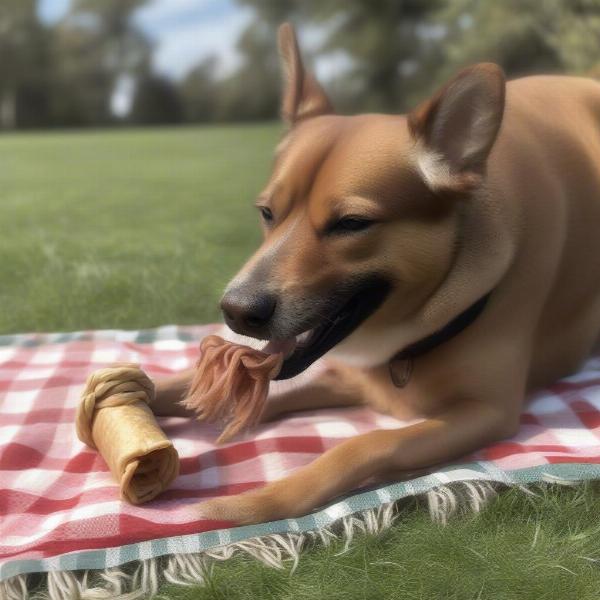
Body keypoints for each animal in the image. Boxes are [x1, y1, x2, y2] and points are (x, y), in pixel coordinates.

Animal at [152, 21, 600, 524]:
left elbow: (367, 444)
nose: (235, 311)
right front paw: (136, 389)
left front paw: (253, 503)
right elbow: (192, 386)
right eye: (267, 213)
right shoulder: (339, 374)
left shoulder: (487, 412)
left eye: (351, 223)